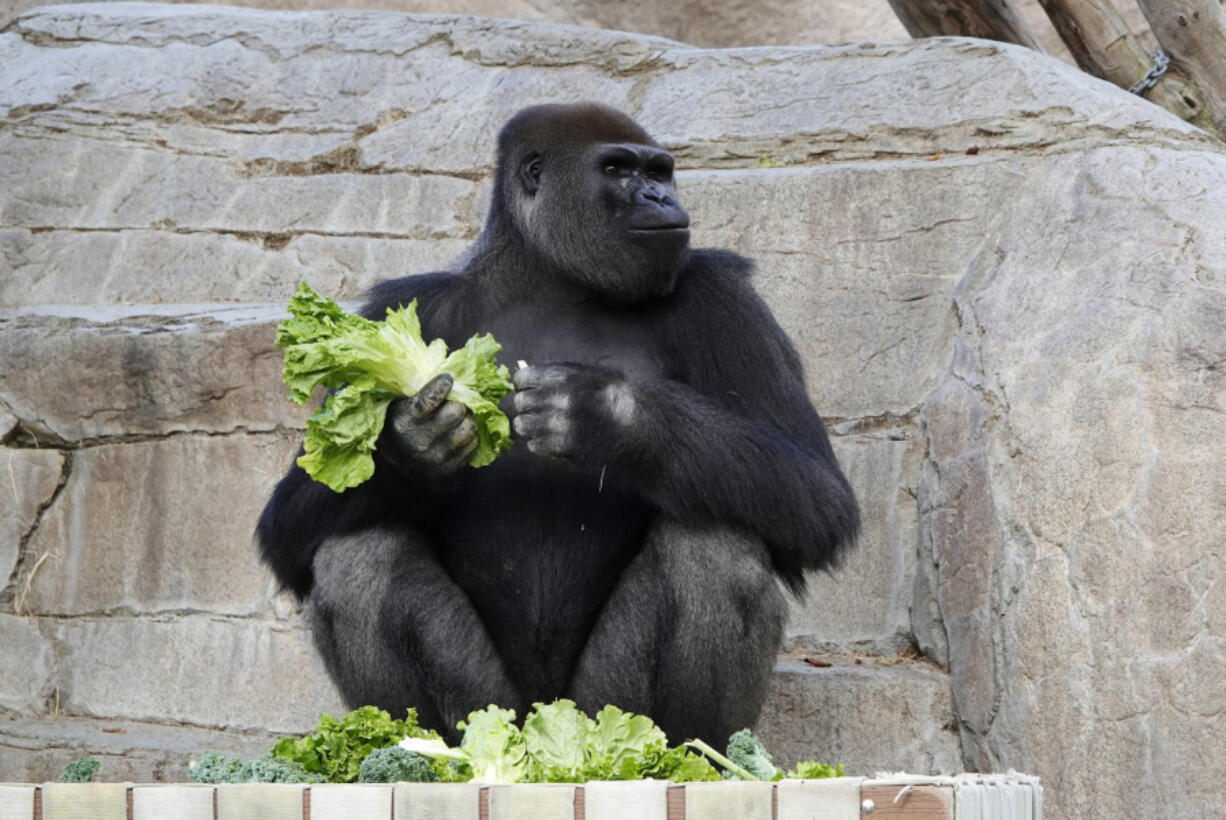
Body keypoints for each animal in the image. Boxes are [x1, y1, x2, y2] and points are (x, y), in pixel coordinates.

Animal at [253, 100, 858, 740]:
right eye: (617, 170)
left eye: (660, 173)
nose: (660, 199)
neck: (552, 282)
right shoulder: (402, 303)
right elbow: (287, 527)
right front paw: (409, 446)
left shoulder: (720, 296)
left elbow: (818, 496)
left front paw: (606, 416)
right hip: (494, 711)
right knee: (357, 556)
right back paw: (416, 748)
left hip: (598, 711)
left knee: (716, 547)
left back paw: (691, 751)